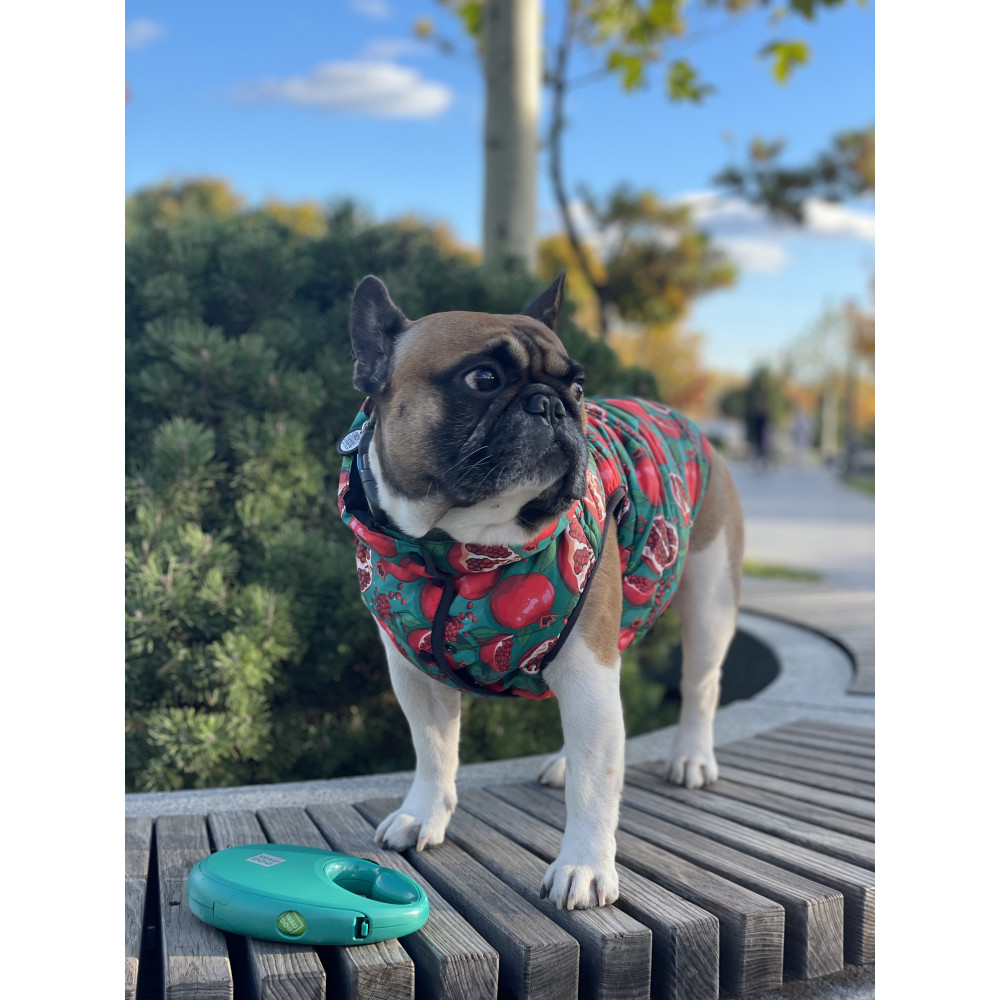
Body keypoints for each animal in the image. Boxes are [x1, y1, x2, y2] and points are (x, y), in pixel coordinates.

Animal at [337, 272, 744, 911]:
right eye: (483, 379)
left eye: (577, 386)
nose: (553, 403)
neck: (461, 549)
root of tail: (683, 419)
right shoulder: (415, 675)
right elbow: (434, 750)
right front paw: (422, 814)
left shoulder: (587, 669)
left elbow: (597, 781)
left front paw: (585, 866)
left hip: (709, 599)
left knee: (699, 686)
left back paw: (691, 757)